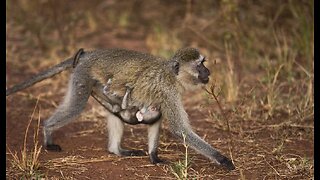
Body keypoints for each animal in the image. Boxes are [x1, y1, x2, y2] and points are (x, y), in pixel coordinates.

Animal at [5, 47, 235, 170]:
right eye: (199, 65)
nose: (208, 71)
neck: (172, 74)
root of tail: (90, 54)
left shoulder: (161, 99)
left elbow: (157, 120)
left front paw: (154, 156)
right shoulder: (168, 92)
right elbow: (181, 131)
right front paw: (222, 159)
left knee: (114, 109)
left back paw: (117, 150)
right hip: (83, 76)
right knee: (76, 106)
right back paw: (48, 131)